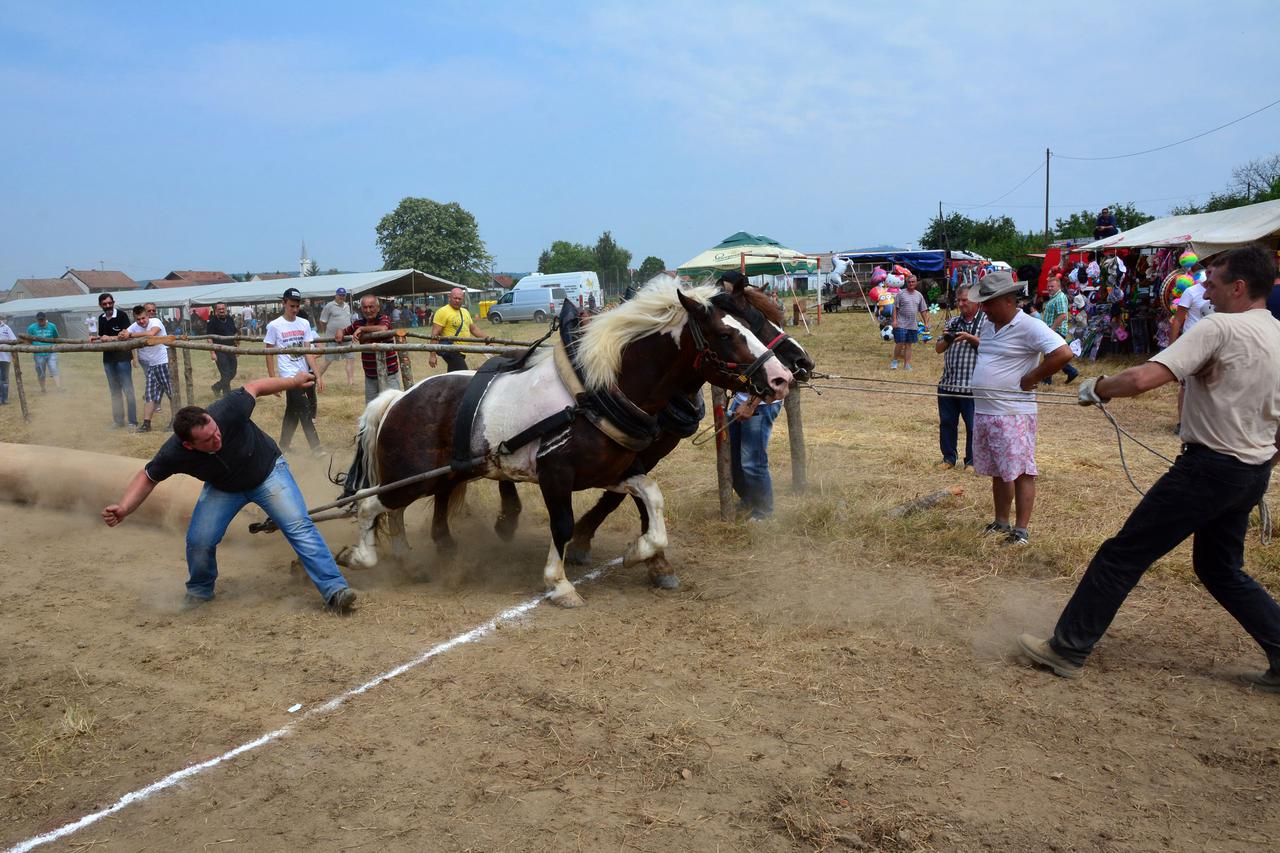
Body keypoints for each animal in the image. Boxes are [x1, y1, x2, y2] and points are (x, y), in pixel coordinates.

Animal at [332, 281, 788, 601]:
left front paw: (640, 553)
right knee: (372, 505)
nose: (783, 378)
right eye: (727, 335)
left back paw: (411, 559)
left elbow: (651, 498)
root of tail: (398, 398)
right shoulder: (556, 475)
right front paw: (559, 583)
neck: (593, 395)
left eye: (752, 324)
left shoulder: (611, 470)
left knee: (399, 510)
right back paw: (362, 557)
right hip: (414, 477)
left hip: (439, 475)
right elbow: (563, 524)